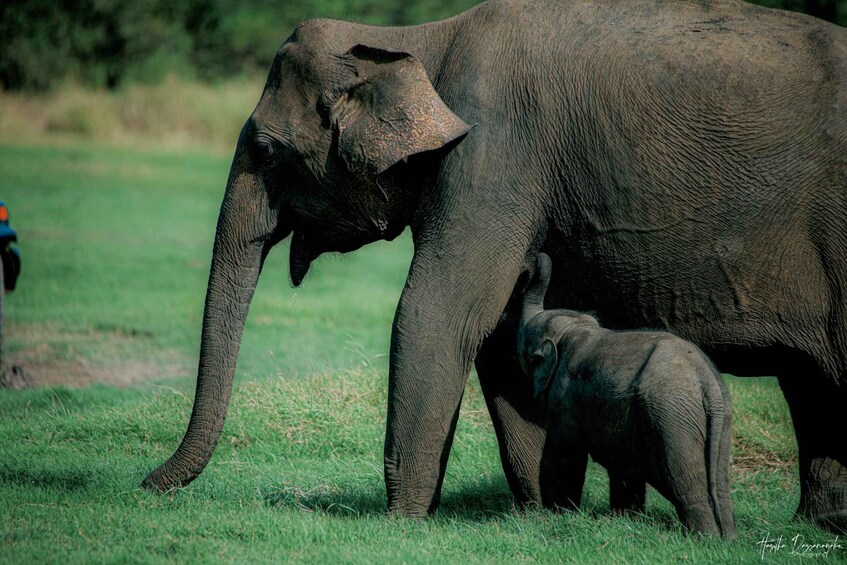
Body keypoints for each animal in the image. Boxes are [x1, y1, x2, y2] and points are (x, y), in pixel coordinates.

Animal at [517, 253, 736, 537]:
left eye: (527, 352)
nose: (531, 262)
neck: (572, 329)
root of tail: (706, 382)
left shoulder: (564, 395)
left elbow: (565, 455)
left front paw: (557, 514)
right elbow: (624, 468)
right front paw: (626, 518)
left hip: (672, 420)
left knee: (684, 484)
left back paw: (705, 539)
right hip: (720, 422)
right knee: (719, 485)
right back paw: (727, 539)